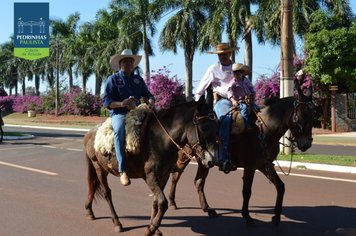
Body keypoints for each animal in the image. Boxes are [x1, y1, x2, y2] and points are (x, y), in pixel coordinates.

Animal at [83, 96, 218, 236]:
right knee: (106, 193)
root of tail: (89, 133)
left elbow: (156, 202)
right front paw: (152, 228)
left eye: (217, 128)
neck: (160, 140)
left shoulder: (163, 176)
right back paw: (117, 223)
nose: (212, 161)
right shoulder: (150, 176)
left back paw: (89, 211)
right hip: (99, 168)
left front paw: (153, 228)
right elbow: (162, 203)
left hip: (103, 169)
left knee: (93, 186)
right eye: (205, 128)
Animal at [168, 79, 312, 227]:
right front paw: (247, 217)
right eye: (302, 116)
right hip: (185, 155)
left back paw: (207, 209)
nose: (307, 144)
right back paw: (173, 202)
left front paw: (276, 216)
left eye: (312, 116)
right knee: (176, 174)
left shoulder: (265, 165)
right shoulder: (250, 167)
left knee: (198, 181)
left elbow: (280, 186)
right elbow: (247, 191)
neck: (263, 130)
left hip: (204, 161)